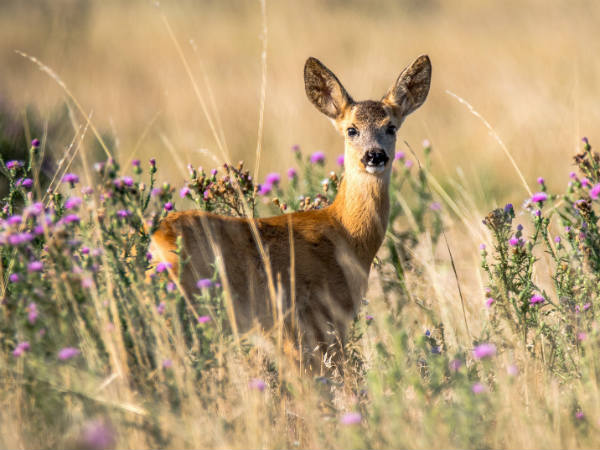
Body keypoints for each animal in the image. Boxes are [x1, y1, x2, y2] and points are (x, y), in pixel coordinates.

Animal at [150, 54, 432, 368]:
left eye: (391, 127)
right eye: (351, 129)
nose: (374, 155)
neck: (346, 233)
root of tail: (156, 240)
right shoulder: (317, 317)